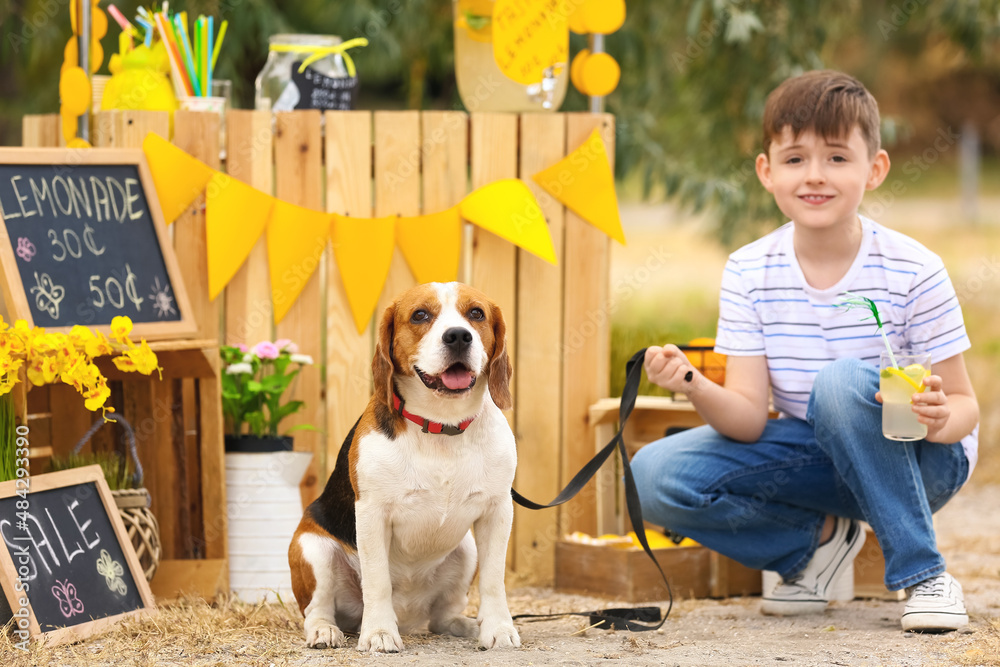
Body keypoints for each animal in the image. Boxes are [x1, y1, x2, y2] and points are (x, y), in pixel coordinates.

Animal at [288, 280, 520, 652]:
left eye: (476, 314)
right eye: (420, 315)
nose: (459, 336)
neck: (442, 425)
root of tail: (410, 615)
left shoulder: (498, 511)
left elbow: (493, 580)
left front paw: (496, 628)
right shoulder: (371, 513)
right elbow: (377, 581)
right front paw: (379, 633)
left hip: (466, 550)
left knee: (441, 617)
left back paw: (466, 624)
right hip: (313, 548)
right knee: (317, 609)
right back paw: (325, 631)